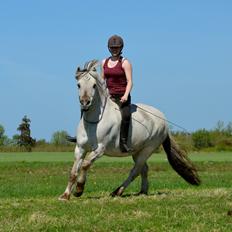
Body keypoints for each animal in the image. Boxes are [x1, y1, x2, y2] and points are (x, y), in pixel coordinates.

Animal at [59, 59, 200, 200]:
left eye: (94, 85)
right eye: (78, 85)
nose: (85, 103)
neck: (95, 121)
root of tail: (163, 119)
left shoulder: (100, 149)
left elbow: (85, 164)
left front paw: (79, 190)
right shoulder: (80, 148)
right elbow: (73, 171)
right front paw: (65, 195)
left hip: (148, 149)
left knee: (136, 170)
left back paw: (117, 191)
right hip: (137, 150)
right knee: (144, 169)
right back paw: (142, 191)